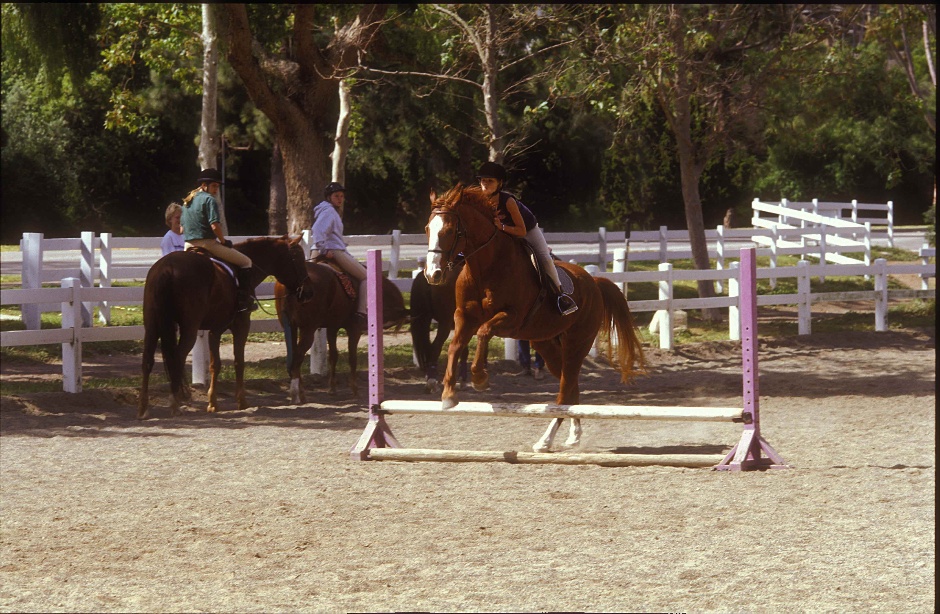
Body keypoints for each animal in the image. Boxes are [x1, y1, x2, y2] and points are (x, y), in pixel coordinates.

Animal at [137, 235, 312, 418]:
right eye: (298, 259)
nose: (308, 292)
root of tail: (168, 267)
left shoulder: (215, 330)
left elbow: (216, 365)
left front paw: (213, 403)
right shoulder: (242, 324)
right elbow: (239, 361)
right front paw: (242, 401)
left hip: (152, 325)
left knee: (147, 360)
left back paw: (143, 408)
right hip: (189, 328)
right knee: (177, 358)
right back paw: (174, 403)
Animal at [270, 264, 406, 404]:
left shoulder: (332, 327)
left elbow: (333, 356)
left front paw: (332, 388)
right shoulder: (354, 329)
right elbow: (352, 358)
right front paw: (355, 390)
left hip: (291, 327)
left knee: (293, 357)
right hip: (308, 329)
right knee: (298, 356)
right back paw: (297, 394)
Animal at [412, 264, 470, 394]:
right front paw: (462, 380)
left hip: (425, 319)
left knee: (428, 347)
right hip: (445, 323)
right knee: (435, 346)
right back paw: (432, 382)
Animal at [426, 184, 648, 452]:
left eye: (449, 231)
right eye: (427, 229)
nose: (432, 274)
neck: (485, 266)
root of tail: (594, 282)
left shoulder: (512, 318)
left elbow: (484, 332)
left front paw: (479, 378)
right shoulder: (464, 316)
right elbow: (455, 345)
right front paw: (448, 395)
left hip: (577, 343)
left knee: (564, 390)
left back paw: (545, 440)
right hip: (547, 344)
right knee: (570, 388)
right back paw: (573, 435)